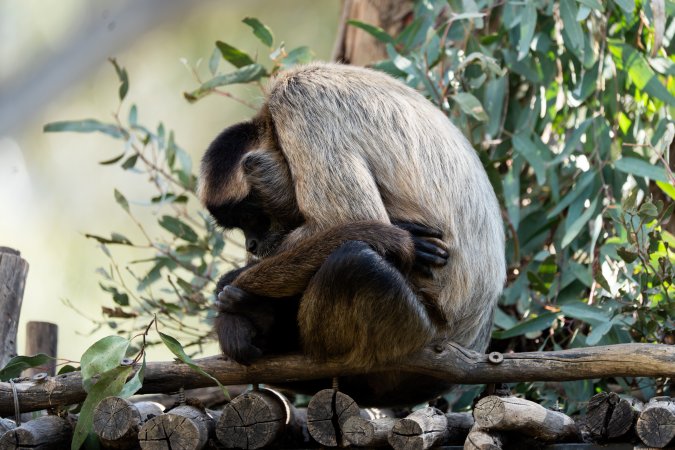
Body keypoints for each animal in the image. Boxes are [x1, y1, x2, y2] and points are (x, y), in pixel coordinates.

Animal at [199, 62, 506, 406]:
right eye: (240, 226)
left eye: (252, 218)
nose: (252, 243)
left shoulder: (299, 102)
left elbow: (347, 218)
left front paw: (230, 283)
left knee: (356, 262)